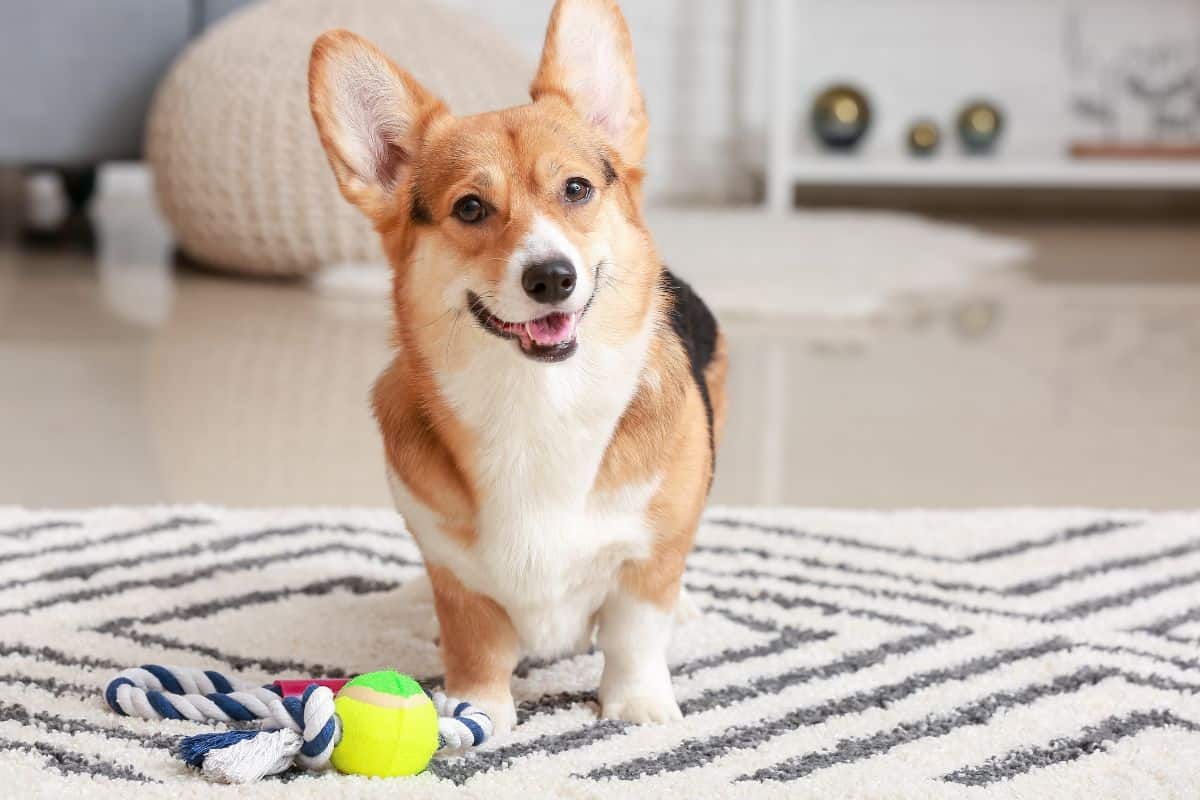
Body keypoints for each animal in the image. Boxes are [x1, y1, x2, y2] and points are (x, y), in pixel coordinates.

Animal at [304, 0, 724, 734]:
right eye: (471, 207)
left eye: (577, 188)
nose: (551, 277)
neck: (537, 403)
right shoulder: (460, 578)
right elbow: (478, 643)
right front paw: (477, 711)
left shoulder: (646, 561)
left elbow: (635, 634)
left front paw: (639, 707)